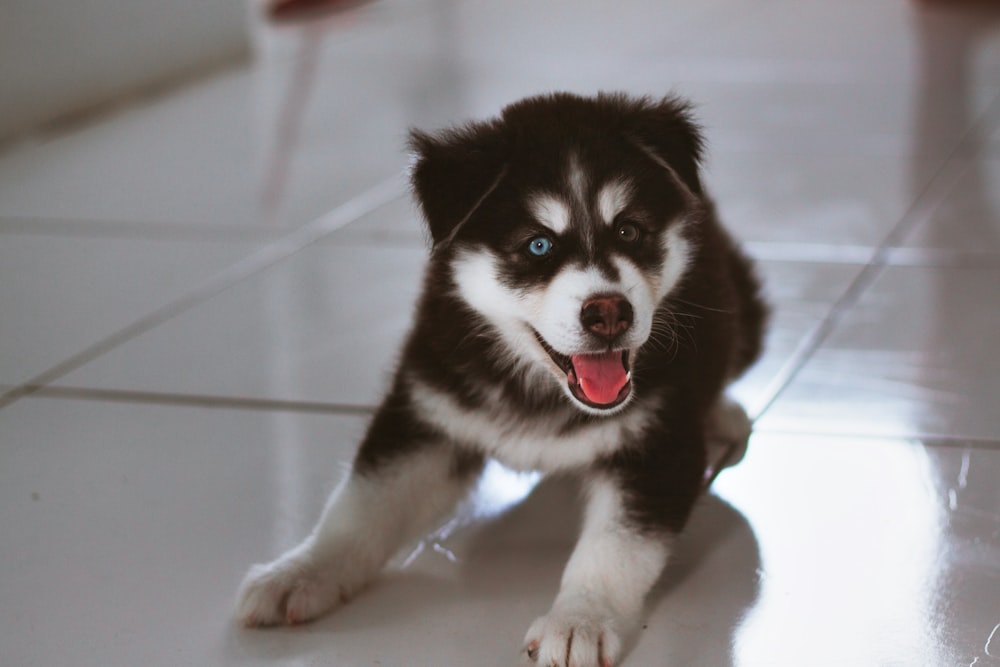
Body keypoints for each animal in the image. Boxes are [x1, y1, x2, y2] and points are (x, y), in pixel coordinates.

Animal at [238, 92, 768, 667]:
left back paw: (722, 414)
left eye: (629, 230)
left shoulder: (659, 439)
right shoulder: (428, 406)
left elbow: (616, 547)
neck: (544, 388)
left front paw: (579, 619)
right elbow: (362, 503)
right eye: (537, 246)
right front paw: (301, 571)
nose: (609, 313)